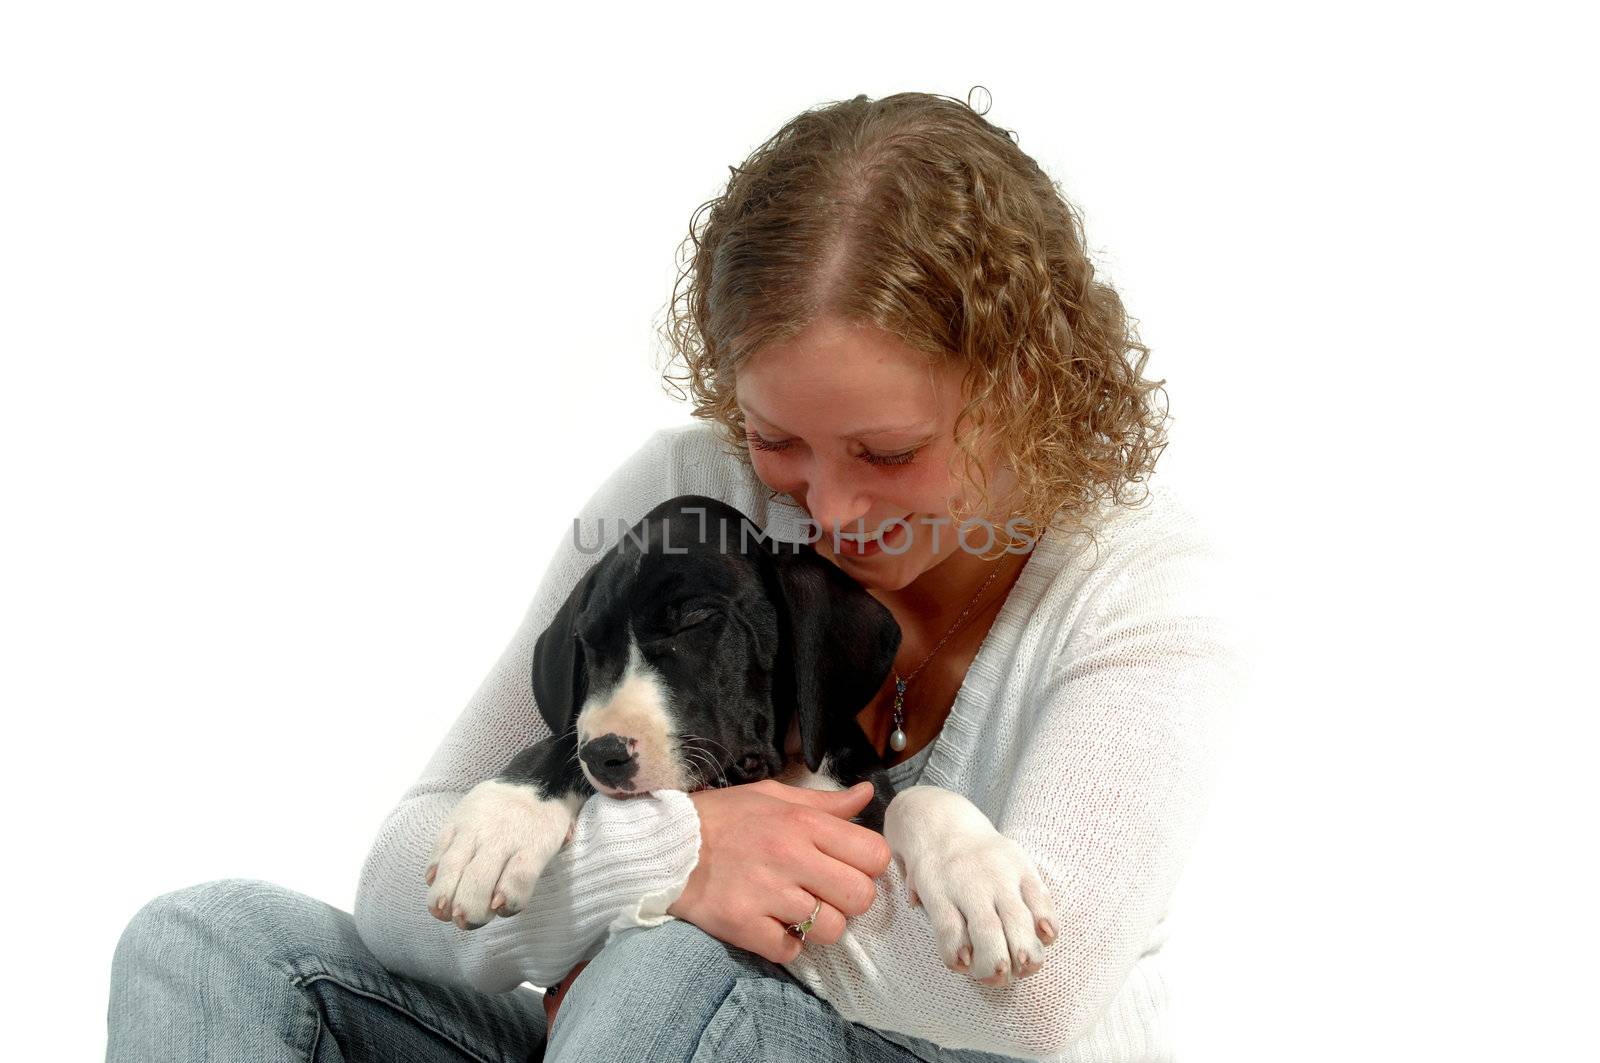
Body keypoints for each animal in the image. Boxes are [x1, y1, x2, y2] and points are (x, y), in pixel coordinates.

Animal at [425, 493, 1056, 986]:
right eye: (588, 644)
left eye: (695, 621)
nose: (604, 757)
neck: (780, 770)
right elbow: (559, 741)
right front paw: (496, 824)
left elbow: (917, 798)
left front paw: (978, 876)